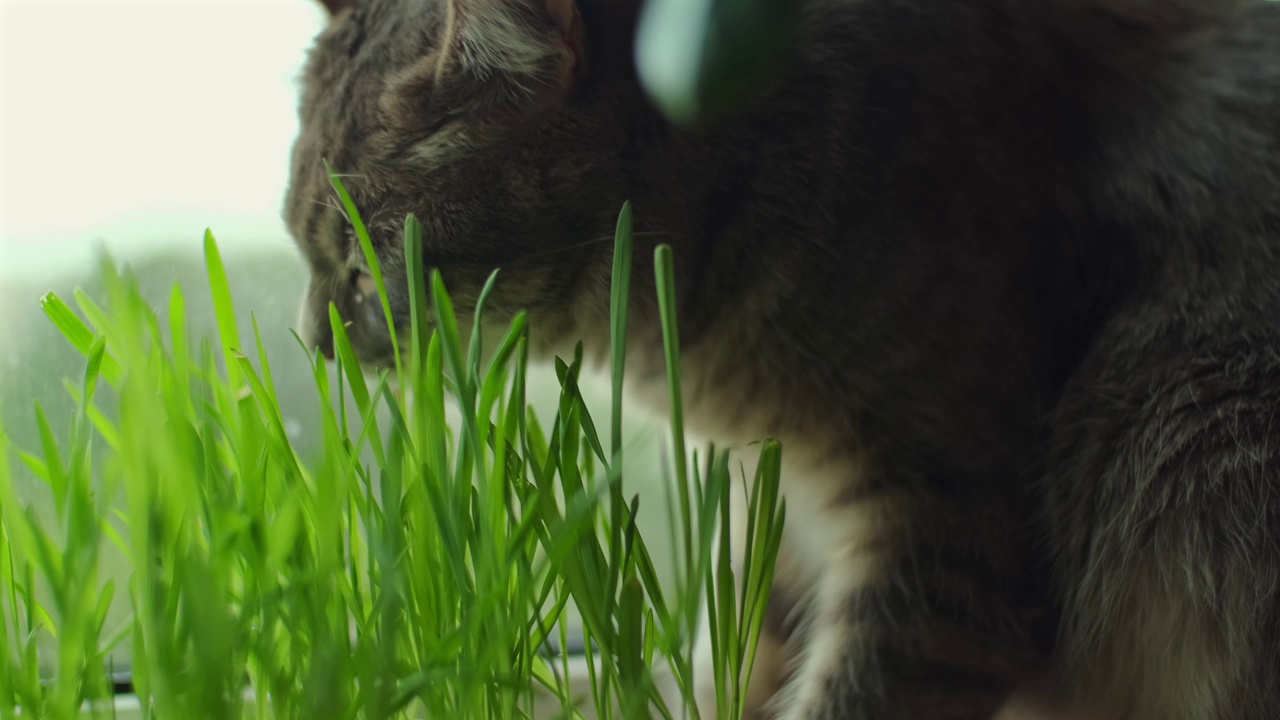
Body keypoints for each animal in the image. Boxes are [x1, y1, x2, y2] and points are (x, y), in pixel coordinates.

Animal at [282, 1, 1280, 717]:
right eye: (299, 246)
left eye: (366, 274)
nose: (313, 344)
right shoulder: (775, 501)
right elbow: (739, 642)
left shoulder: (945, 532)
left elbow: (846, 688)